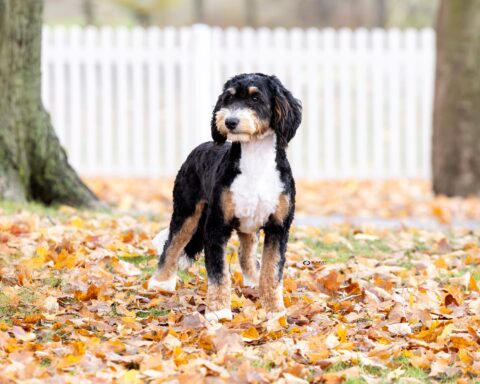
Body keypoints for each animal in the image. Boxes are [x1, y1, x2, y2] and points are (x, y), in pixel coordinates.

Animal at [148, 72, 302, 320]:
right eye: (228, 99)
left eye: (255, 98)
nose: (230, 121)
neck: (255, 161)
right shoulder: (216, 225)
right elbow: (219, 273)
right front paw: (218, 311)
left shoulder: (279, 227)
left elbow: (272, 272)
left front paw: (274, 311)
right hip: (187, 210)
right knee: (173, 243)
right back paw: (160, 282)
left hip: (248, 223)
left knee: (246, 253)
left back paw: (253, 280)